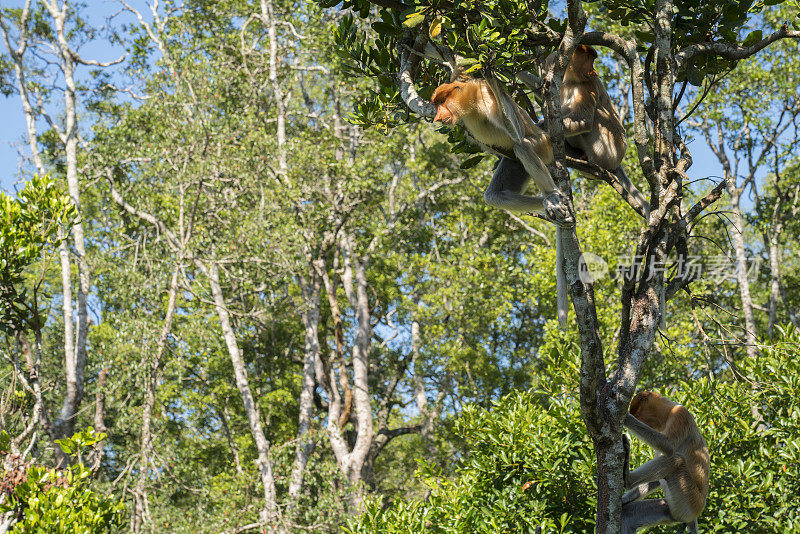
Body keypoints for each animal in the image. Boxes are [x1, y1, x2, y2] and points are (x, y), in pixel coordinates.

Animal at [620, 392, 708, 532]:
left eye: (639, 416)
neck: (668, 413)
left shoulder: (680, 414)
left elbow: (668, 446)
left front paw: (626, 418)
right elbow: (656, 480)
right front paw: (624, 500)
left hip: (689, 501)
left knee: (676, 460)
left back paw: (628, 479)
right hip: (672, 509)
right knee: (628, 515)